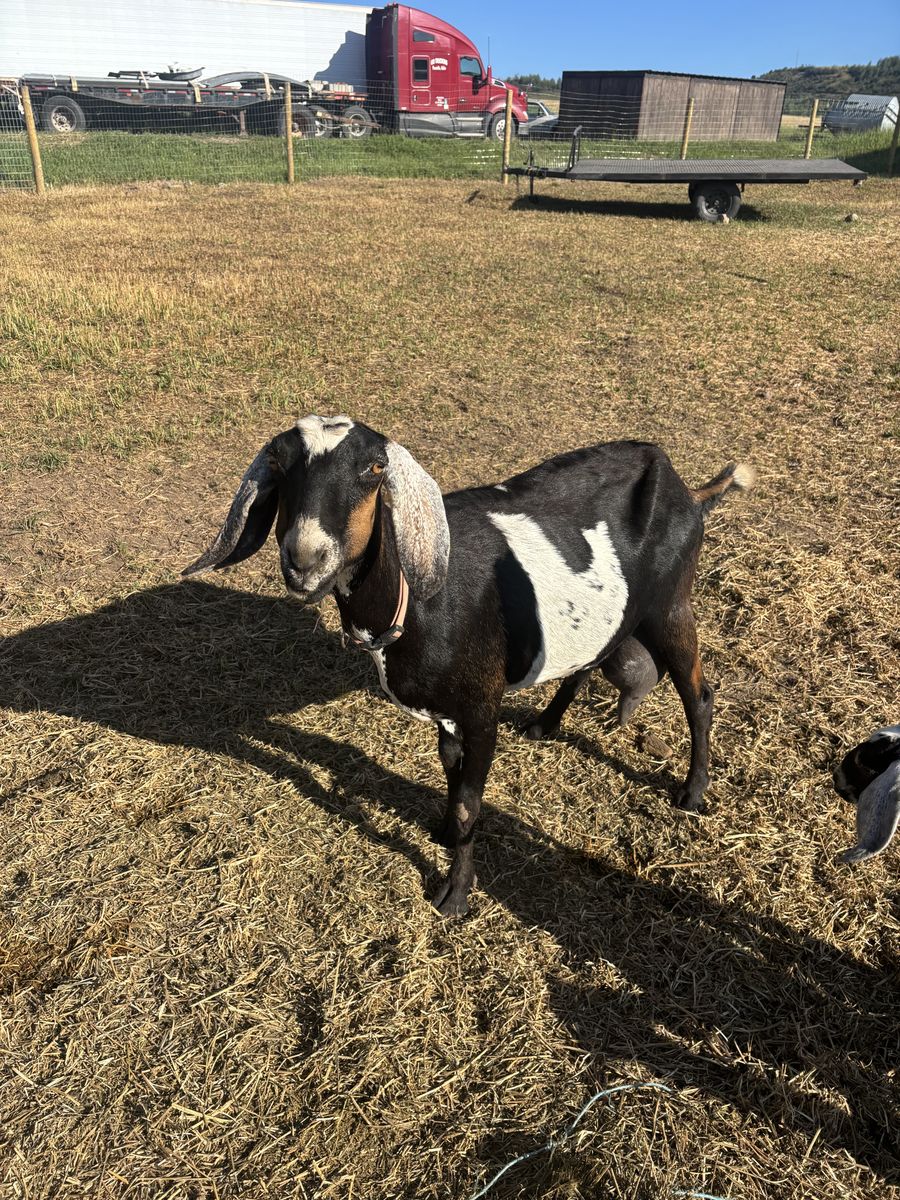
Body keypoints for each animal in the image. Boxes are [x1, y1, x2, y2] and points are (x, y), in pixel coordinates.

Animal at [184, 415, 754, 915]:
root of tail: (688, 489)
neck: (416, 601)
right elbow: (451, 772)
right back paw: (546, 724)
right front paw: (442, 833)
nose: (305, 560)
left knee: (698, 694)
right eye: (278, 463)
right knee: (590, 657)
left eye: (373, 469)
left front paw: (455, 895)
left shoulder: (481, 707)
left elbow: (469, 802)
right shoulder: (448, 709)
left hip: (670, 604)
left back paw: (692, 792)